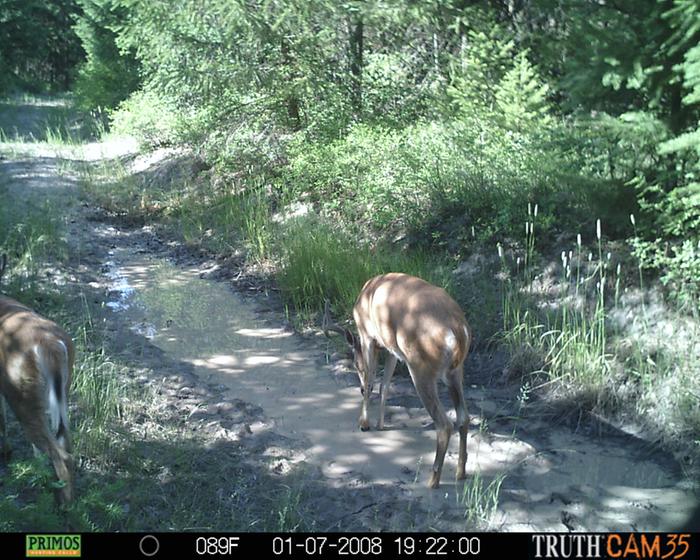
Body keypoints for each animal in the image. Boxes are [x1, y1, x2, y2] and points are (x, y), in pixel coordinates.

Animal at [0, 256, 75, 506]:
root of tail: (50, 346)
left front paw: (6, 453)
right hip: (59, 389)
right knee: (63, 438)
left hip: (20, 392)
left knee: (60, 453)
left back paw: (63, 504)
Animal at [322, 274, 470, 488]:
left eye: (355, 364)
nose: (358, 389)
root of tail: (458, 330)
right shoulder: (391, 347)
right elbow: (385, 385)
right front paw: (380, 424)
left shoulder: (367, 335)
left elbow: (371, 381)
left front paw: (364, 423)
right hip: (456, 371)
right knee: (463, 418)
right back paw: (460, 473)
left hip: (421, 369)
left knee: (444, 424)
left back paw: (432, 481)